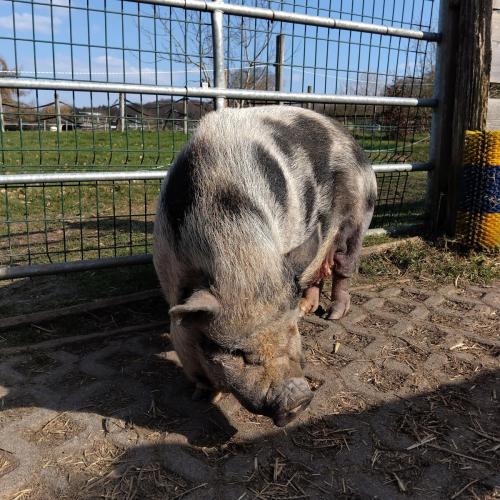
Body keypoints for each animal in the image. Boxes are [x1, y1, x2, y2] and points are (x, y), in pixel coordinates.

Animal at [153, 105, 377, 426]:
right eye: (236, 353)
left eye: (292, 330)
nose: (299, 400)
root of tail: (349, 136)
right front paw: (203, 396)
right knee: (314, 271)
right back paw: (309, 307)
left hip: (357, 218)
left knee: (343, 267)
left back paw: (332, 315)